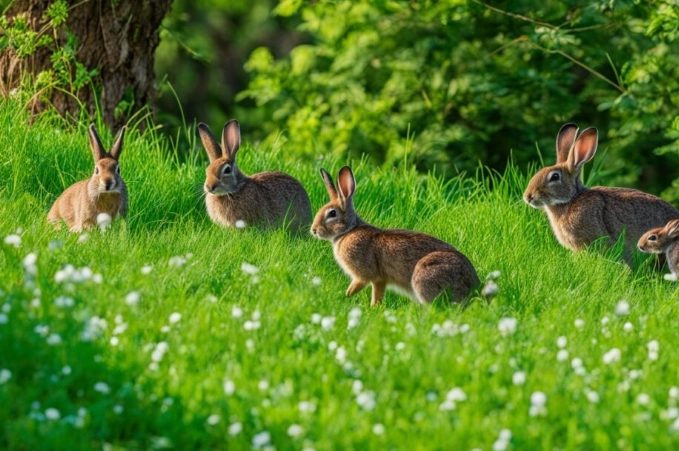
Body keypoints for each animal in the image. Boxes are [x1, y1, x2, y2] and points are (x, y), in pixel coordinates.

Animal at [311, 166, 480, 307]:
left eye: (332, 213)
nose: (313, 230)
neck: (348, 231)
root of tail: (474, 285)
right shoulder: (381, 280)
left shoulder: (367, 275)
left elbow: (363, 286)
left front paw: (349, 296)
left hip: (425, 276)